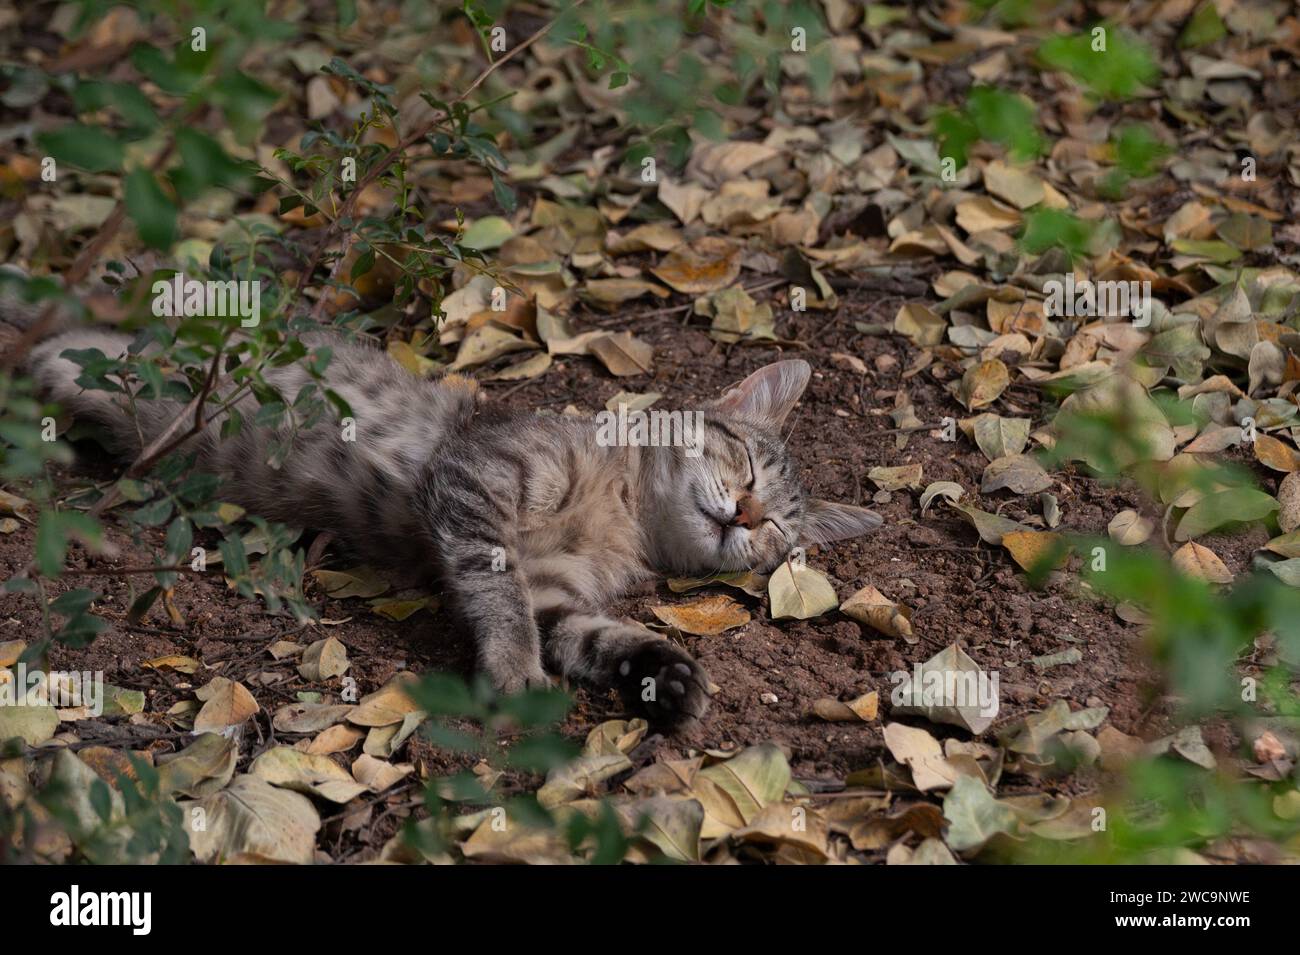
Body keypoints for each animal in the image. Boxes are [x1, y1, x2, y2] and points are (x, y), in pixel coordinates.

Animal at [27, 332, 883, 727]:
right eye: (748, 464)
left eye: (776, 534)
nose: (745, 515)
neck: (624, 511)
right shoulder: (478, 479)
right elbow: (497, 592)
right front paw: (511, 666)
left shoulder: (559, 595)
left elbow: (592, 634)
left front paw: (664, 673)